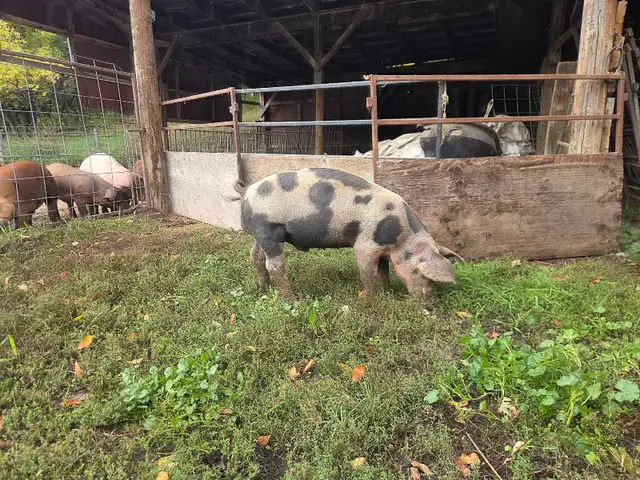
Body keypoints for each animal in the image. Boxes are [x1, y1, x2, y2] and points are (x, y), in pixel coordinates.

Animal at [234, 168, 462, 302]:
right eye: (421, 273)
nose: (430, 304)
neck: (401, 236)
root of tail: (246, 191)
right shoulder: (365, 245)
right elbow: (368, 272)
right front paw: (369, 300)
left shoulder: (383, 250)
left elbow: (384, 270)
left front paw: (388, 290)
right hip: (268, 229)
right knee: (274, 265)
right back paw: (292, 299)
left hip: (260, 234)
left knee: (255, 256)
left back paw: (264, 289)